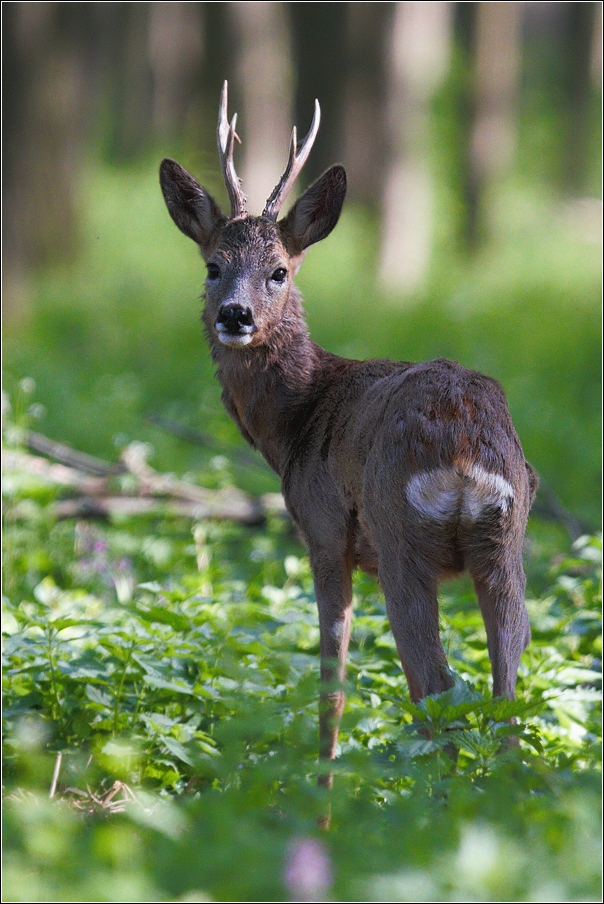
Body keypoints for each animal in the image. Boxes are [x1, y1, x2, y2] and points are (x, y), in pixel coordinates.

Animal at [160, 79, 536, 784]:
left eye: (279, 270)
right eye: (212, 266)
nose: (235, 315)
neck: (298, 420)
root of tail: (465, 451)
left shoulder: (323, 530)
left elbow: (330, 677)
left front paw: (323, 787)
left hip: (399, 534)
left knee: (436, 684)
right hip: (506, 540)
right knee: (504, 691)